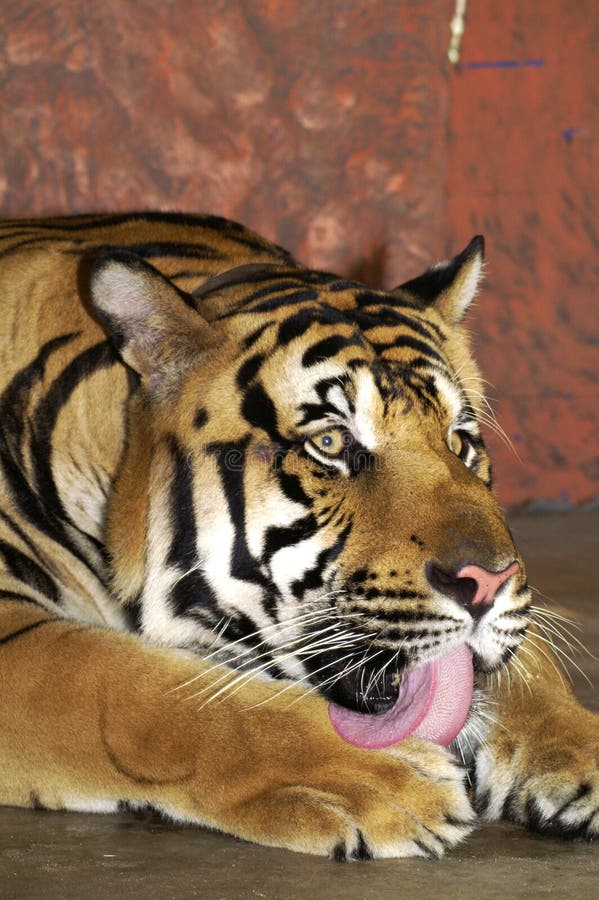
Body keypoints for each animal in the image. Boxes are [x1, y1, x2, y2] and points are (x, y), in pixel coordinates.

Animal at [0, 212, 597, 860]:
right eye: (330, 443)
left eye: (458, 440)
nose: (488, 582)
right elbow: (148, 691)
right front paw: (391, 778)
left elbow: (529, 662)